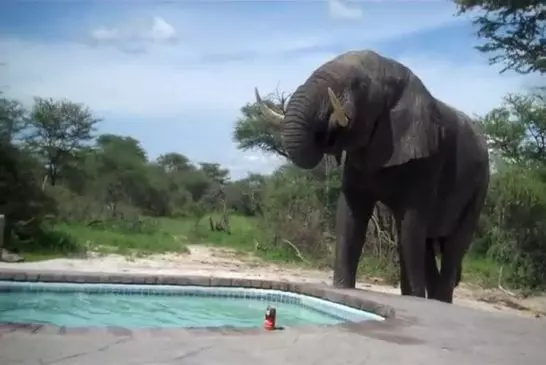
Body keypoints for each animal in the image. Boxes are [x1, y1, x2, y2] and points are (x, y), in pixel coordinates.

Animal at [255, 49, 488, 302]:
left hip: (479, 190)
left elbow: (410, 226)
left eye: (360, 85)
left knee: (453, 245)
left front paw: (414, 299)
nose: (329, 126)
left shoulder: (427, 160)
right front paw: (342, 289)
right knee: (428, 245)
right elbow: (350, 215)